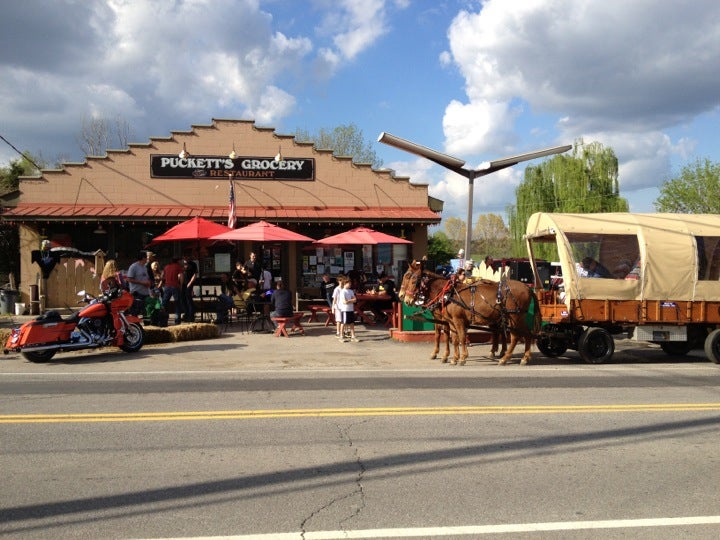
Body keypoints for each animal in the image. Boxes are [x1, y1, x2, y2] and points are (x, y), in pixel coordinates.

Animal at [400, 262, 540, 368]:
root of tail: (527, 288)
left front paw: (461, 358)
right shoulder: (450, 321)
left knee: (515, 336)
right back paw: (524, 357)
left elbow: (460, 338)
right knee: (526, 334)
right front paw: (453, 358)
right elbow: (454, 339)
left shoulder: (458, 320)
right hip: (516, 318)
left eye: (412, 279)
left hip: (514, 317)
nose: (405, 298)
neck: (448, 294)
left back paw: (505, 358)